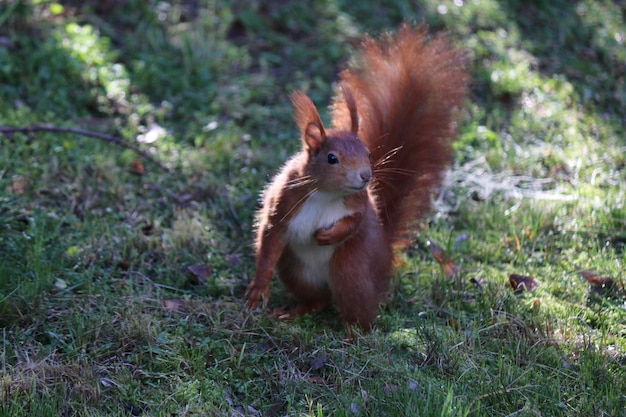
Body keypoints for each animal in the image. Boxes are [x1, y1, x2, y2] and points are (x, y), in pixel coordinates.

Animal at [246, 24, 466, 330]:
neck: (327, 194)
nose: (365, 176)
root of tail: (386, 251)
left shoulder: (359, 202)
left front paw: (328, 234)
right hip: (295, 269)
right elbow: (269, 241)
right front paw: (258, 290)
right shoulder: (284, 201)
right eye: (332, 158)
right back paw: (294, 312)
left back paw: (352, 333)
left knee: (360, 310)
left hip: (351, 267)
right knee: (318, 300)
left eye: (367, 153)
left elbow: (356, 222)